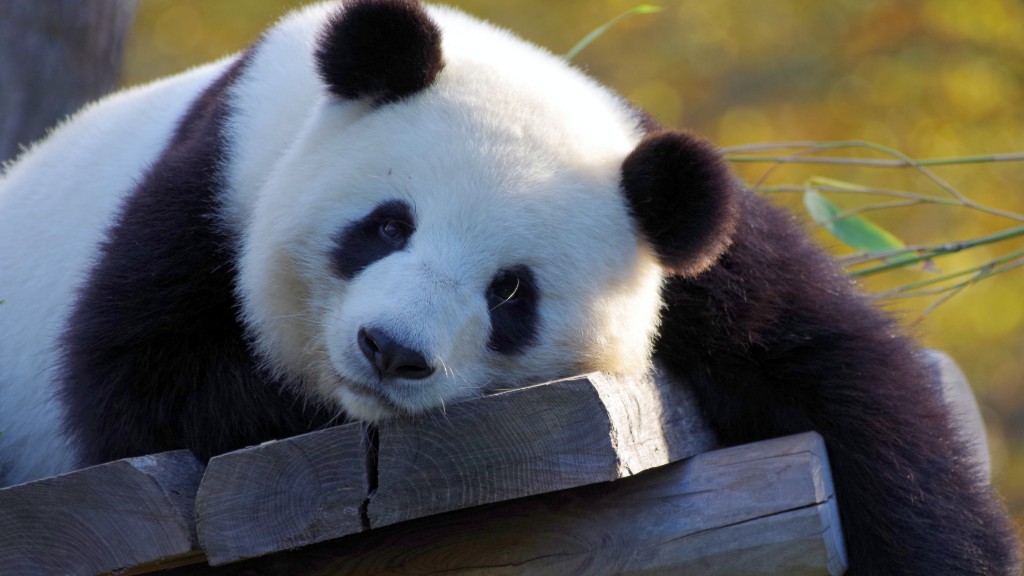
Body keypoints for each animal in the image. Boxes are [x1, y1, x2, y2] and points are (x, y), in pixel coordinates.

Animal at [0, 0, 1017, 574]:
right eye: (388, 225)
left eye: (510, 293)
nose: (392, 352)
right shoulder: (218, 179)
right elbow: (144, 382)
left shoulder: (688, 251)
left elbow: (850, 389)